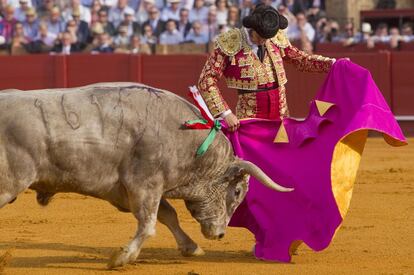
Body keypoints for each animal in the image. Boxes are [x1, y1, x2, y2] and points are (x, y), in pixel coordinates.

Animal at [0, 83, 292, 268]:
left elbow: (167, 215)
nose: (220, 234)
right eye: (237, 192)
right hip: (10, 184)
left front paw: (191, 248)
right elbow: (149, 223)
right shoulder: (144, 184)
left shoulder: (136, 189)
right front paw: (121, 258)